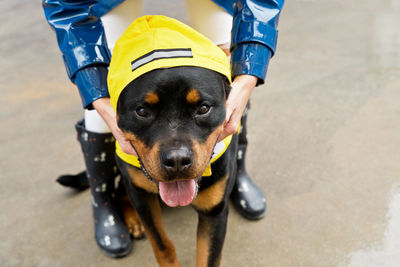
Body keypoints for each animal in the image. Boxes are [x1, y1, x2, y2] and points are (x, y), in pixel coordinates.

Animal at [108, 15, 238, 266]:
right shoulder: (140, 194)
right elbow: (162, 245)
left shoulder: (215, 211)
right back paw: (133, 221)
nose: (177, 160)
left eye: (203, 108)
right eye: (142, 111)